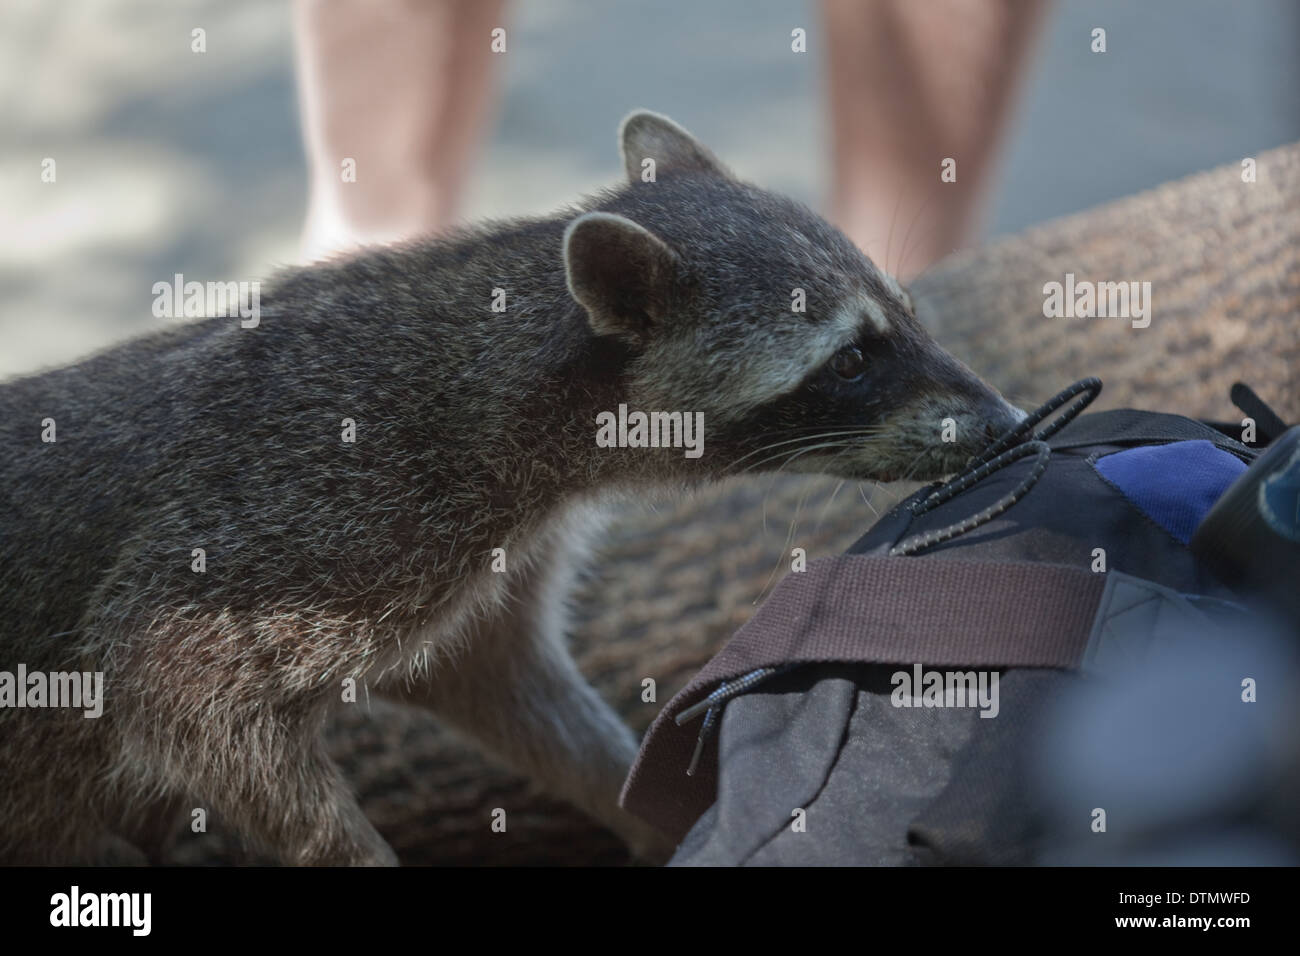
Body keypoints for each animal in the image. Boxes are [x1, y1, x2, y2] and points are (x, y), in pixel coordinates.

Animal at [2, 111, 1024, 868]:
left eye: (908, 316)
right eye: (850, 360)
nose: (1011, 423)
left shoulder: (478, 557)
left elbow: (502, 682)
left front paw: (640, 804)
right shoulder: (312, 513)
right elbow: (178, 688)